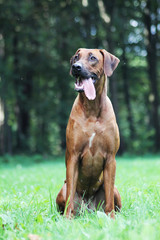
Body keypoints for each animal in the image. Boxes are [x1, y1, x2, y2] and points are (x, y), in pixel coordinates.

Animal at [56, 47, 121, 218]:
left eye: (93, 58)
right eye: (76, 57)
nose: (76, 67)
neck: (92, 109)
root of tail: (88, 208)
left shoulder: (111, 158)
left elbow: (109, 196)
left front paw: (111, 217)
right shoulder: (73, 156)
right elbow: (70, 194)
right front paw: (67, 218)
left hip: (116, 190)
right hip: (62, 189)